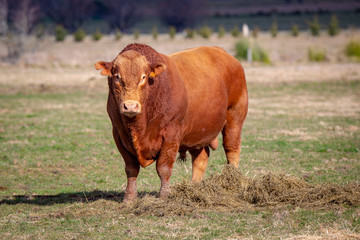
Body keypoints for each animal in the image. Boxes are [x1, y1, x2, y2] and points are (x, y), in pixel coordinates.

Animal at [95, 43, 248, 202]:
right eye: (117, 77)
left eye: (144, 77)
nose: (130, 106)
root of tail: (222, 52)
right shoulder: (119, 134)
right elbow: (131, 168)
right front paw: (129, 198)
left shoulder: (171, 135)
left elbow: (163, 168)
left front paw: (164, 196)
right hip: (197, 131)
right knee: (200, 158)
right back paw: (195, 187)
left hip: (235, 117)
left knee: (232, 149)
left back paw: (232, 181)